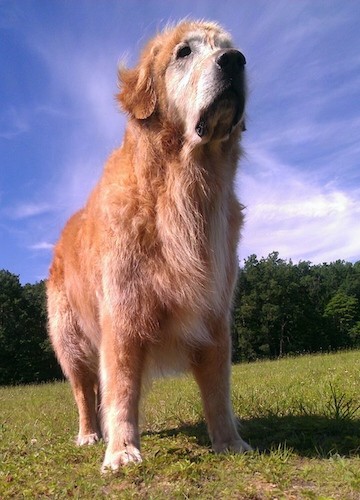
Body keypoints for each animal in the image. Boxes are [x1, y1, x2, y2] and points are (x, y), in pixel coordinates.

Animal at [47, 20, 250, 472]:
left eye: (228, 48)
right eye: (184, 52)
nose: (235, 60)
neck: (183, 187)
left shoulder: (215, 315)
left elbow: (219, 389)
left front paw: (229, 441)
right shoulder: (123, 317)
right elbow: (121, 390)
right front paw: (121, 450)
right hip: (70, 343)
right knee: (85, 392)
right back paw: (90, 435)